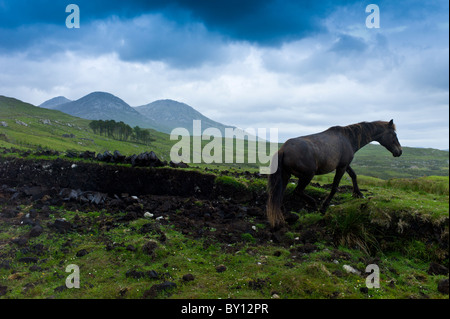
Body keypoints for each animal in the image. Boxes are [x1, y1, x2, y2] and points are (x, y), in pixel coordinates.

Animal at [266, 120, 402, 228]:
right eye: (394, 134)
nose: (400, 151)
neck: (348, 138)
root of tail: (283, 150)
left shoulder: (345, 164)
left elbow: (353, 175)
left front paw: (358, 193)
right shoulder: (341, 167)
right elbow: (335, 187)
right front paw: (324, 206)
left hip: (286, 175)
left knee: (279, 194)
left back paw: (285, 215)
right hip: (307, 176)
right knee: (297, 191)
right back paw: (314, 204)